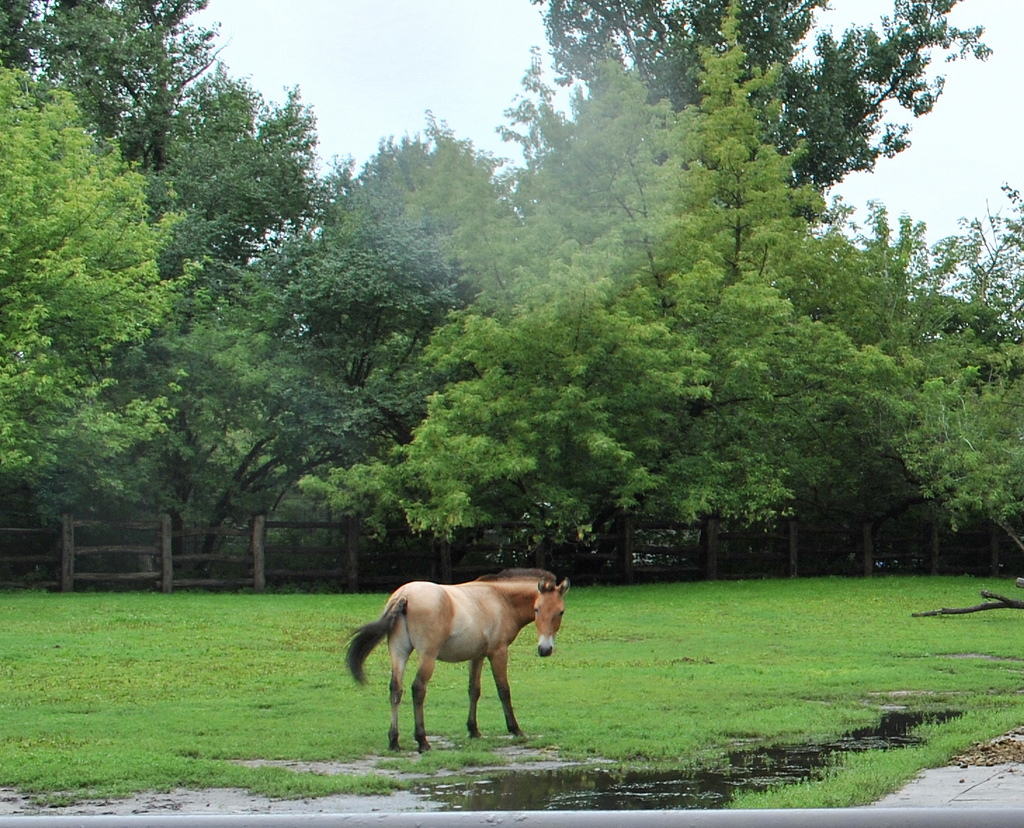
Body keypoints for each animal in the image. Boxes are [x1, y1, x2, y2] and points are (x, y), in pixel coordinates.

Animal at [346, 568, 570, 752]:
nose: (545, 649)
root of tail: (404, 595)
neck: (500, 598)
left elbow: (474, 690)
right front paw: (515, 730)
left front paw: (474, 730)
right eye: (537, 609)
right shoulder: (498, 652)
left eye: (560, 612)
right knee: (418, 689)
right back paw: (422, 741)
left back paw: (394, 741)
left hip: (399, 652)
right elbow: (504, 690)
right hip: (427, 656)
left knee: (396, 689)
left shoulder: (477, 655)